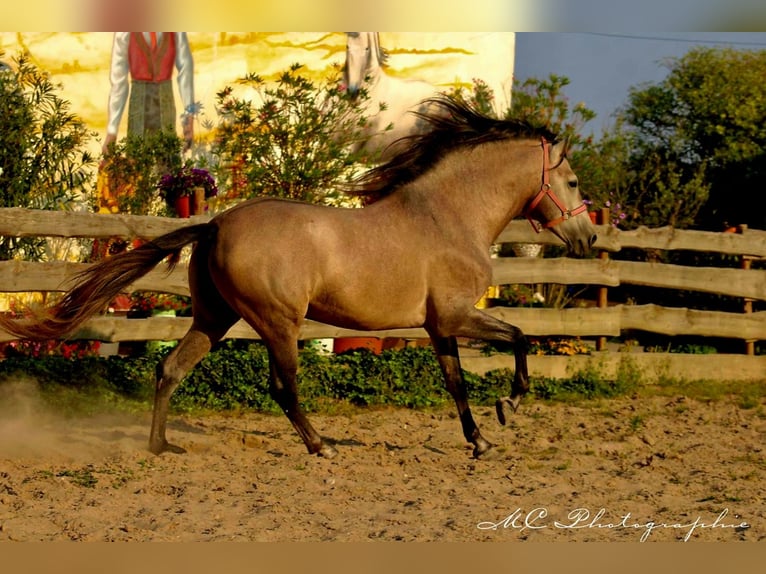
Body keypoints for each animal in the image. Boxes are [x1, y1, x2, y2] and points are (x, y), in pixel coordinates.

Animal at [0, 97, 596, 462]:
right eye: (570, 181)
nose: (588, 238)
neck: (447, 216)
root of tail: (215, 223)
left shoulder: (438, 326)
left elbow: (456, 383)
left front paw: (480, 441)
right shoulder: (455, 315)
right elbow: (520, 339)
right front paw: (507, 408)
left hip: (214, 317)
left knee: (170, 368)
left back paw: (162, 447)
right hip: (278, 323)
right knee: (282, 386)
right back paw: (319, 446)